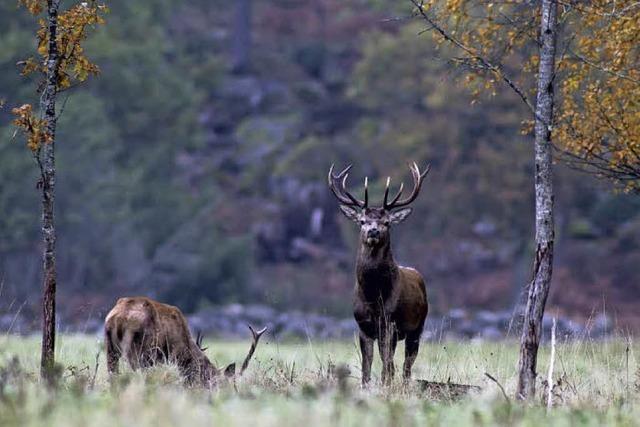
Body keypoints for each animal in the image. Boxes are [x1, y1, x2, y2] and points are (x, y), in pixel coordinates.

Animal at [105, 298, 264, 388]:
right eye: (220, 383)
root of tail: (117, 317)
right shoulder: (173, 355)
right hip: (140, 350)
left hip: (110, 348)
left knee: (113, 375)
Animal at [330, 162, 430, 386]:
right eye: (362, 220)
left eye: (387, 222)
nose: (373, 231)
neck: (373, 296)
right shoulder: (363, 326)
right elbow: (367, 365)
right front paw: (366, 386)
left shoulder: (389, 324)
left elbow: (387, 365)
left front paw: (385, 386)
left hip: (418, 327)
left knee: (406, 364)